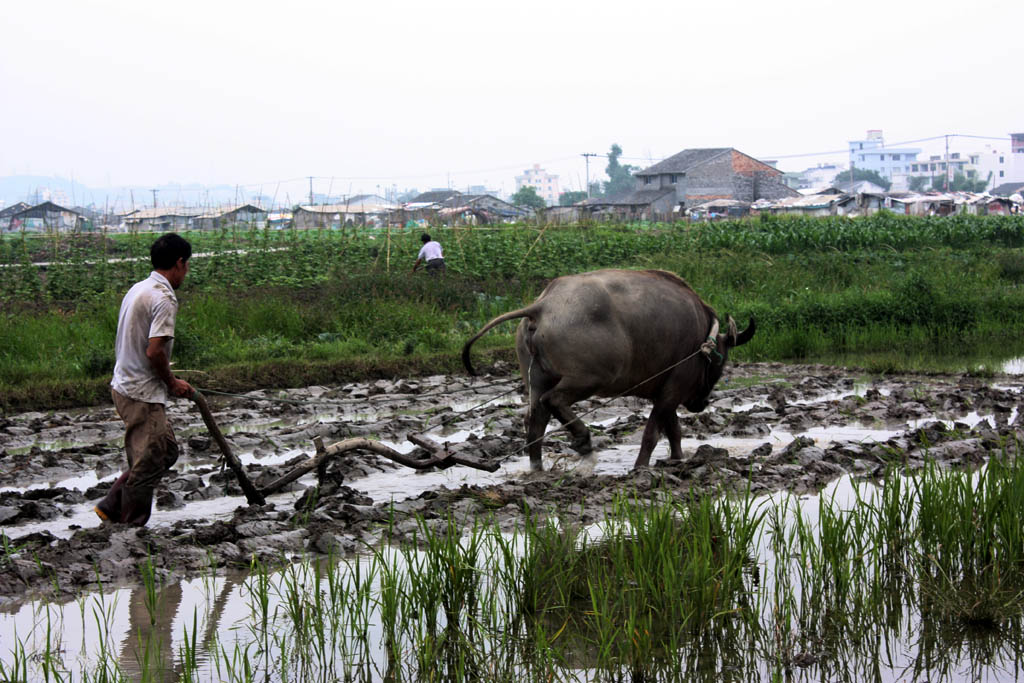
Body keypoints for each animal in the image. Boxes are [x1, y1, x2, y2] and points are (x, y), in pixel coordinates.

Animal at [462, 270, 753, 473]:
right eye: (722, 362)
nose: (700, 404)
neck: (702, 334)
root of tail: (543, 306)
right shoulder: (674, 388)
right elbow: (652, 433)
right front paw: (640, 467)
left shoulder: (665, 392)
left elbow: (673, 430)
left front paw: (678, 460)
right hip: (589, 379)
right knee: (554, 400)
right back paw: (583, 441)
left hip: (538, 379)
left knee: (535, 423)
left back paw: (538, 468)